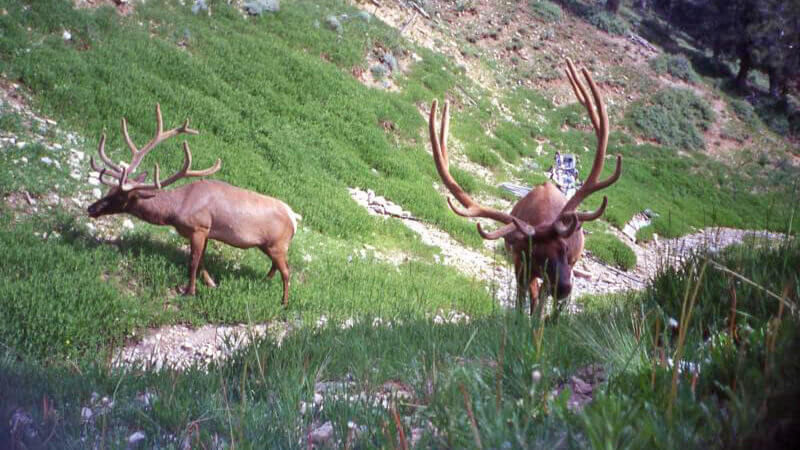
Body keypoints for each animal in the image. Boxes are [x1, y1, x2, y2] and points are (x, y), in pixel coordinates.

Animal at [87, 103, 298, 304]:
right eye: (109, 191)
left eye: (118, 196)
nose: (91, 208)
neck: (176, 210)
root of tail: (294, 218)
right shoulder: (206, 232)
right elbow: (202, 262)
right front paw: (211, 283)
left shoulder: (199, 227)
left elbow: (193, 263)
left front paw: (189, 292)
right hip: (267, 245)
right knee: (276, 267)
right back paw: (265, 282)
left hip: (278, 244)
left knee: (287, 271)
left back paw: (284, 302)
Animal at [428, 59, 620, 312]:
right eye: (538, 254)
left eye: (564, 248)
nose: (564, 288)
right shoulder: (521, 267)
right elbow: (522, 306)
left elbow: (540, 311)